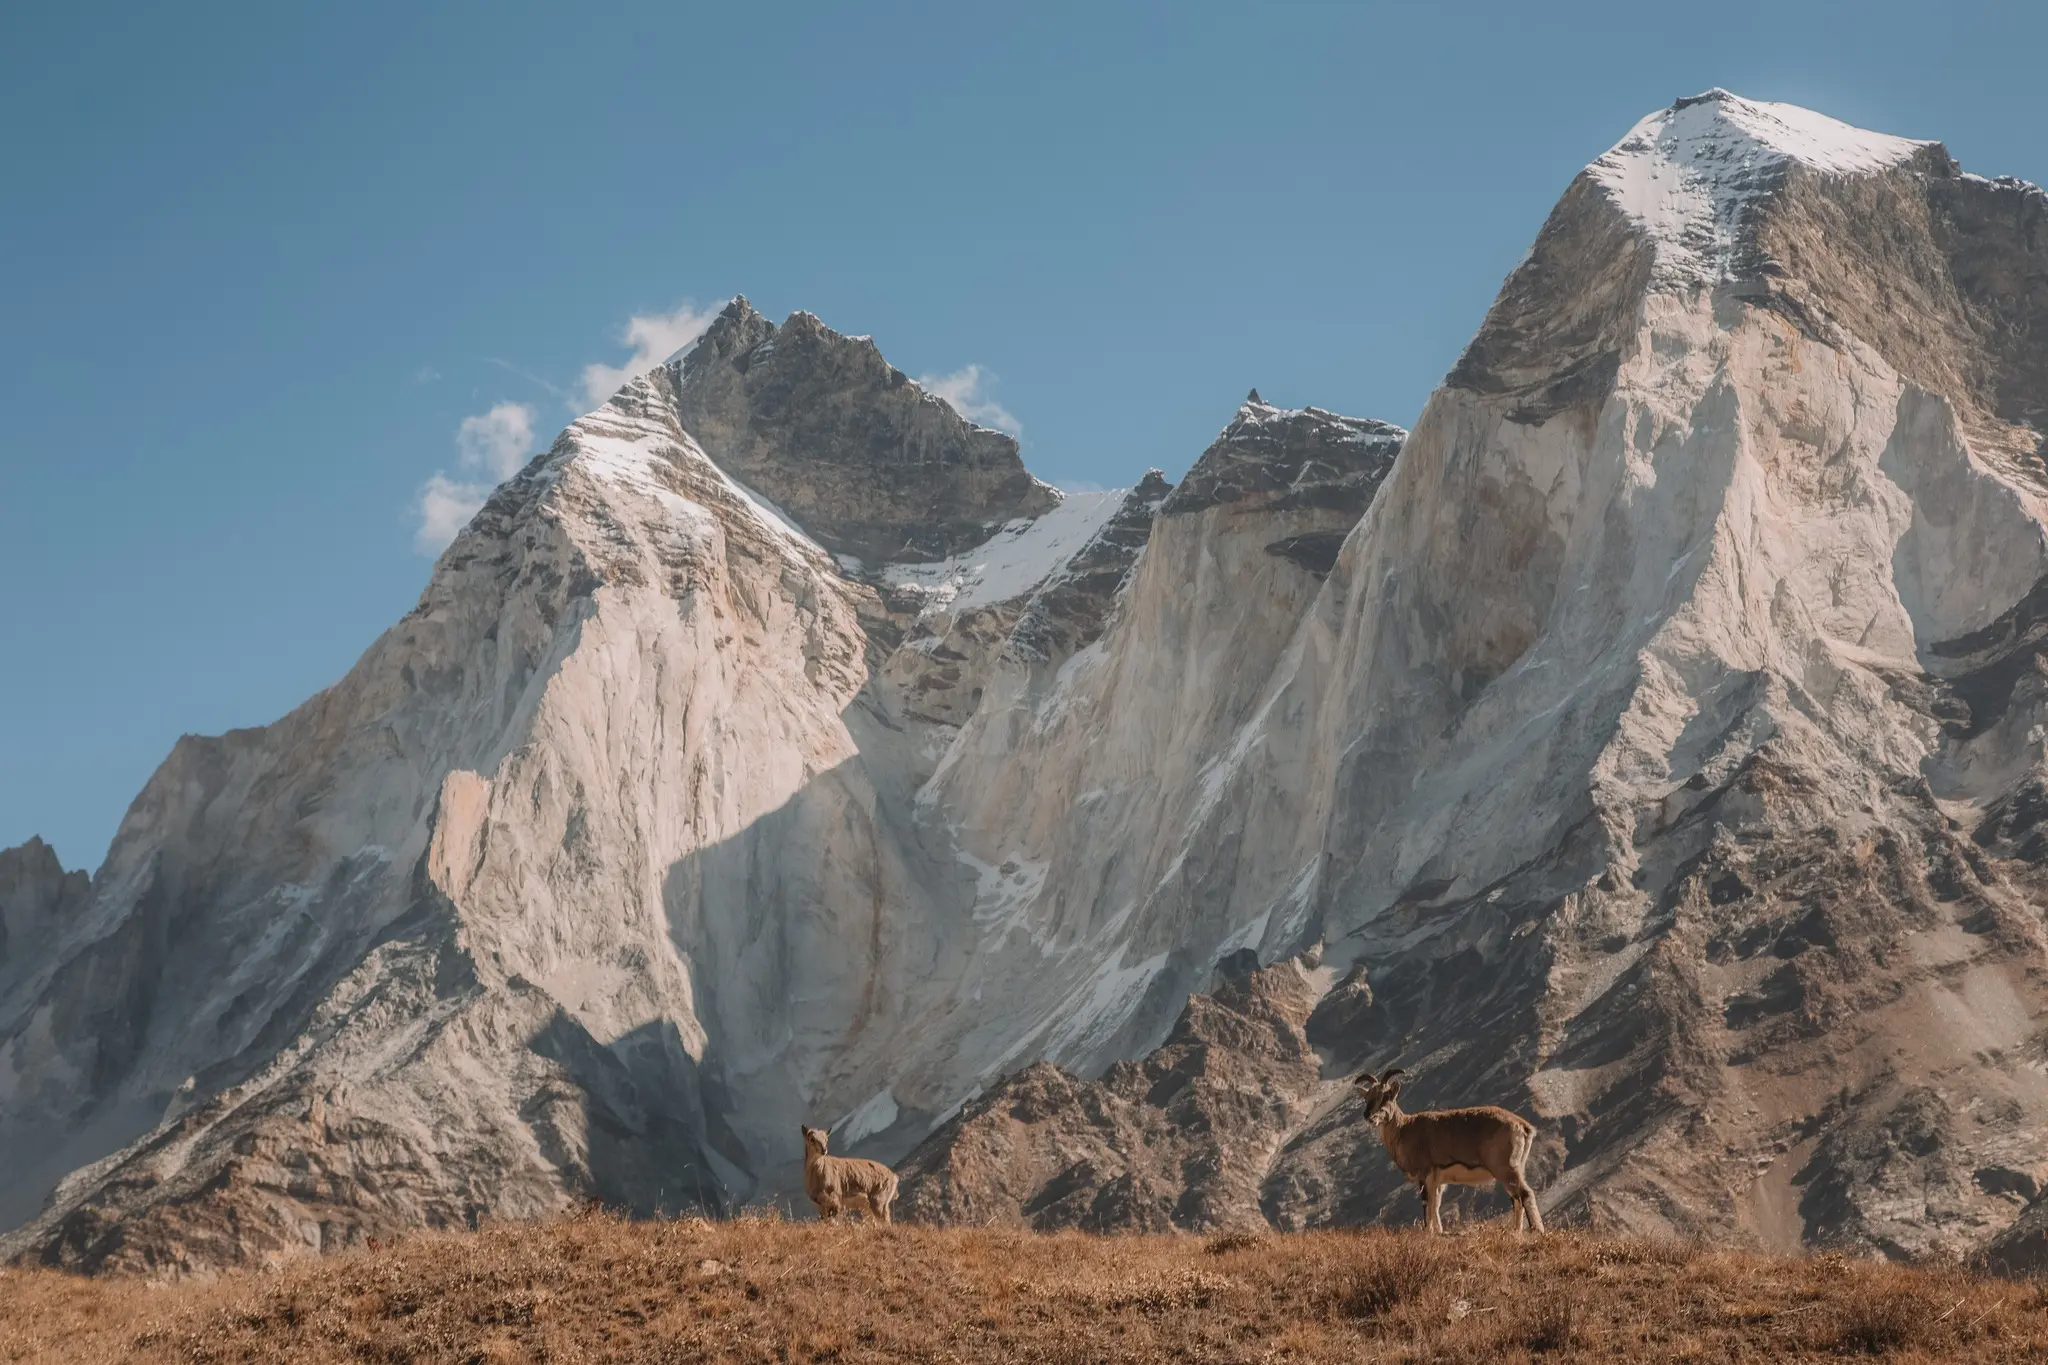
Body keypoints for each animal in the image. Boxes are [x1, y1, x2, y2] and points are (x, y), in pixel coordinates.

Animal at [1351, 1064, 1540, 1236]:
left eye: (1386, 1095)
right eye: (1367, 1097)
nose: (1368, 1115)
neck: (1404, 1129)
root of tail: (1524, 1126)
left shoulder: (1425, 1172)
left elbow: (1427, 1202)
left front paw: (1427, 1231)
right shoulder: (1438, 1179)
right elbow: (1436, 1203)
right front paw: (1439, 1231)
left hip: (1505, 1167)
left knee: (1525, 1194)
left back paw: (1535, 1230)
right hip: (1515, 1168)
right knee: (1516, 1197)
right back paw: (1516, 1230)